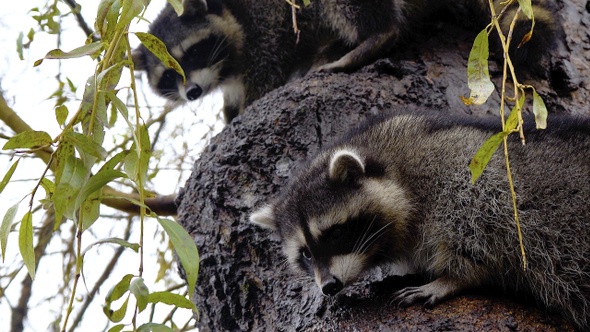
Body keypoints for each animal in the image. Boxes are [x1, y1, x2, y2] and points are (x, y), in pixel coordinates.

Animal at [132, 0, 560, 122]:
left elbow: (269, 68)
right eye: (168, 76)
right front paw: (230, 109)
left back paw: (374, 36)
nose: (191, 92)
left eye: (192, 54)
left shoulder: (265, 24)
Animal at [251, 113, 590, 330]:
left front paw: (453, 277)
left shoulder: (458, 165)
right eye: (306, 253)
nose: (330, 287)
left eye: (335, 233)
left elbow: (485, 215)